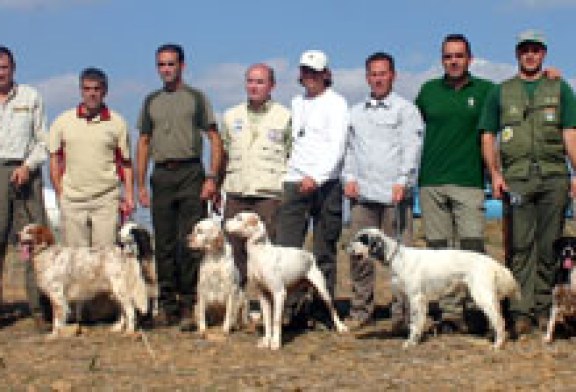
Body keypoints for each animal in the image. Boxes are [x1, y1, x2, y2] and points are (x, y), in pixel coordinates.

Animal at [346, 227, 520, 350]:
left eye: (361, 239)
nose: (345, 247)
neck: (398, 258)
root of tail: (492, 263)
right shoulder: (410, 299)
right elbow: (413, 323)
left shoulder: (416, 298)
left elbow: (415, 323)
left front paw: (410, 343)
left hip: (482, 296)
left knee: (499, 321)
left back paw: (497, 345)